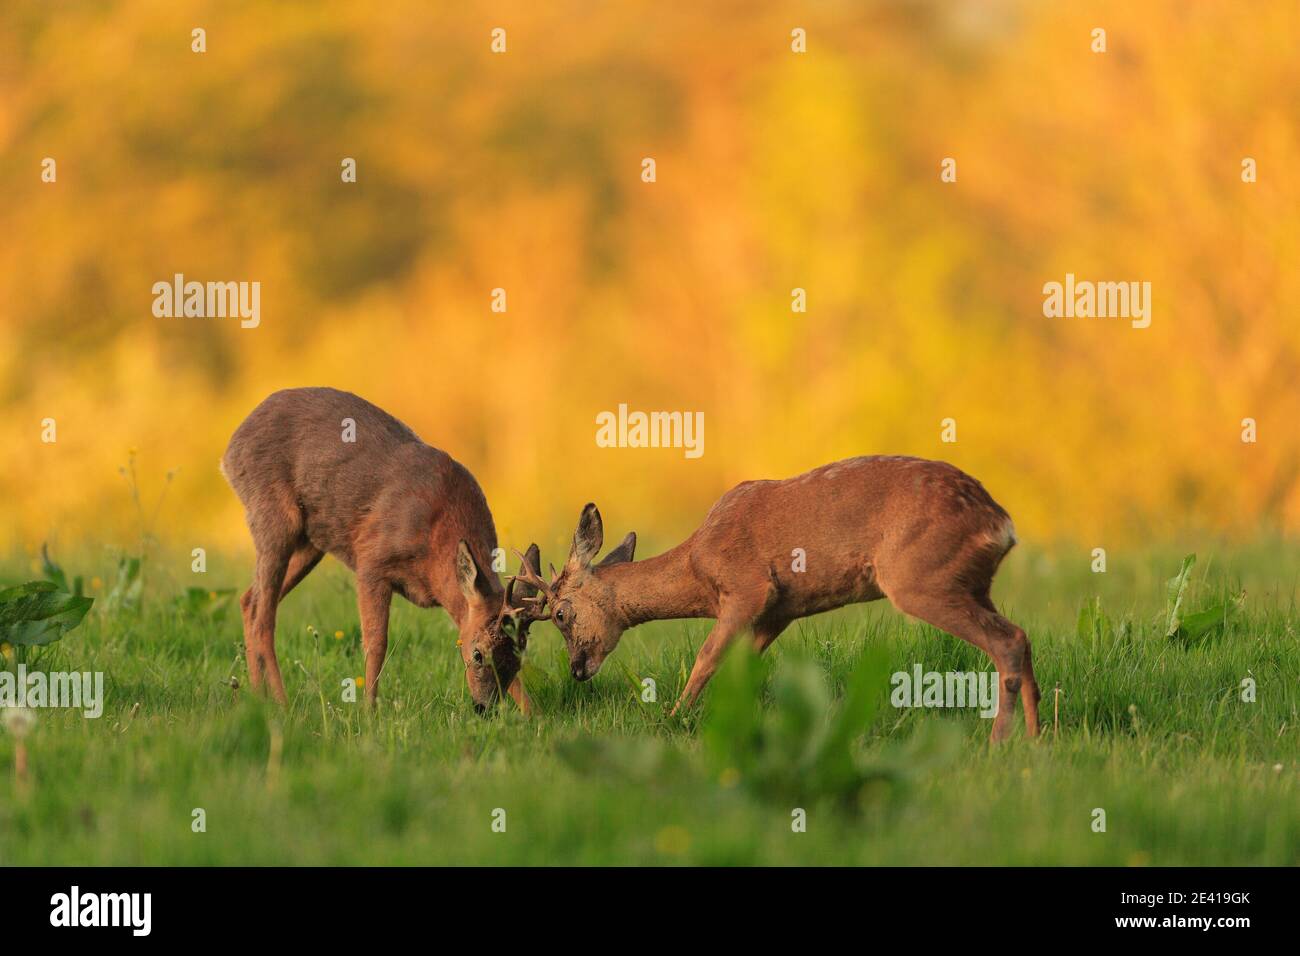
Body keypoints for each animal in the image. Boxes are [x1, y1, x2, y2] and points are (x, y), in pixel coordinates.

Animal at [221, 387, 548, 714]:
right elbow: (376, 643)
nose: (484, 707)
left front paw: (533, 715)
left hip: (310, 543)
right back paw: (280, 703)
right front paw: (369, 711)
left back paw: (257, 698)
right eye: (478, 654)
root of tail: (231, 448)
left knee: (249, 600)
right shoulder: (371, 561)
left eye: (519, 657)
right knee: (263, 617)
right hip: (274, 518)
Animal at [515, 455, 1040, 741]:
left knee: (1008, 640)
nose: (577, 669)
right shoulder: (780, 611)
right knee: (1022, 637)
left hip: (920, 578)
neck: (697, 566)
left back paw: (1000, 743)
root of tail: (1002, 523)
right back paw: (1036, 741)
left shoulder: (747, 588)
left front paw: (672, 718)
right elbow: (740, 670)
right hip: (971, 584)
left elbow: (706, 659)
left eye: (560, 614)